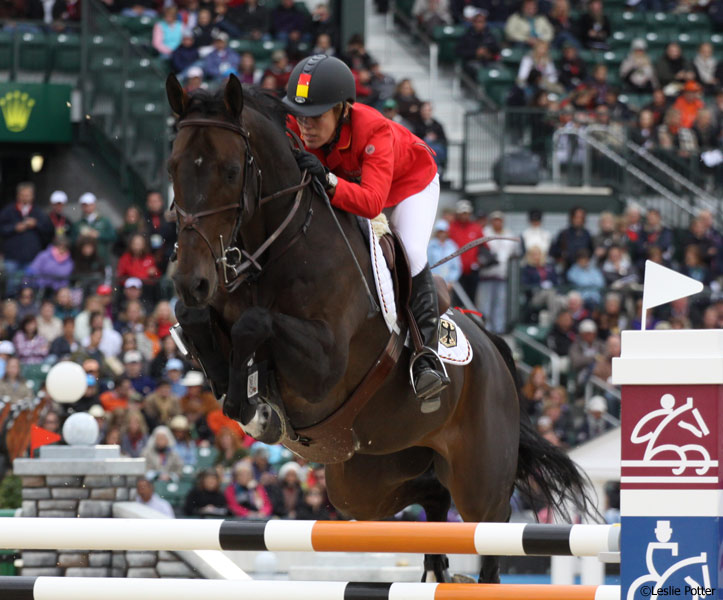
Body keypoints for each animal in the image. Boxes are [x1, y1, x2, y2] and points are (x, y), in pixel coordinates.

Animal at [167, 74, 592, 580]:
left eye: (231, 171)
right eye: (173, 168)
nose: (192, 280)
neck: (280, 247)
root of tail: (494, 351)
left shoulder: (323, 365)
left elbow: (255, 323)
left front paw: (252, 407)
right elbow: (193, 317)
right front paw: (237, 392)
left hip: (479, 482)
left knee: (492, 532)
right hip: (365, 478)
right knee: (431, 492)